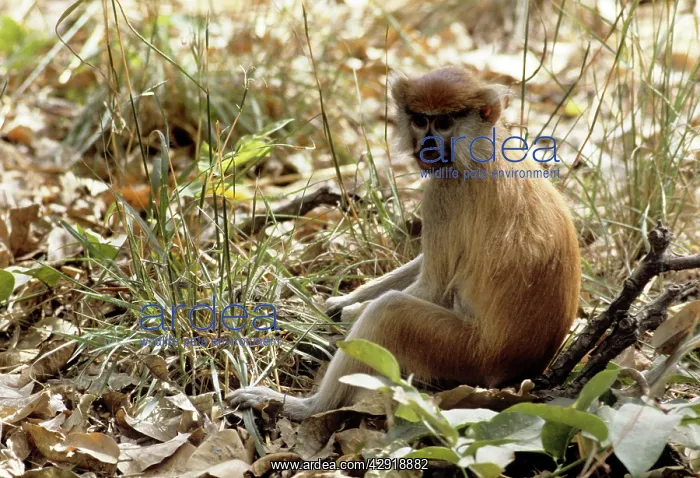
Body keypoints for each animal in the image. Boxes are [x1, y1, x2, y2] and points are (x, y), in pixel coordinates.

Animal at [228, 66, 581, 421]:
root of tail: (519, 370)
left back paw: (305, 407)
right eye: (420, 120)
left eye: (443, 123)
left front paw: (347, 315)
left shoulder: (444, 192)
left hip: (466, 353)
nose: (427, 144)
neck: (483, 144)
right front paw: (338, 304)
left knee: (390, 312)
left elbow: (433, 289)